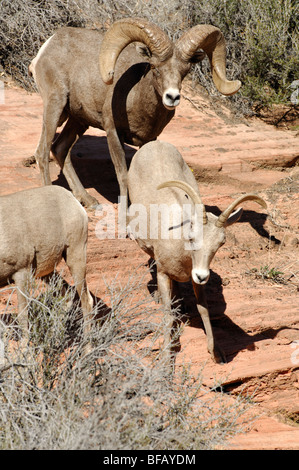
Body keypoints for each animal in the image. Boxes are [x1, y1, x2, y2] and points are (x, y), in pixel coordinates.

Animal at [0, 185, 94, 346]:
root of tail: (72, 199)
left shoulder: (21, 273)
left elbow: (23, 315)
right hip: (46, 273)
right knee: (66, 295)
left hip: (75, 258)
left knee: (86, 301)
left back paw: (86, 348)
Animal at [29, 17, 243, 207]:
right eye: (155, 67)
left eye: (186, 70)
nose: (172, 97)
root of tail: (47, 46)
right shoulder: (113, 132)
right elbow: (123, 176)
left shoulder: (149, 139)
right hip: (55, 105)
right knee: (42, 152)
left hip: (78, 120)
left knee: (60, 149)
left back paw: (89, 202)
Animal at [127, 141, 268, 366]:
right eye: (191, 237)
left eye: (221, 243)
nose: (202, 275)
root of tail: (154, 144)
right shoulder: (164, 274)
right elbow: (168, 314)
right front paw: (166, 359)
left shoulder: (196, 280)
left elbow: (204, 310)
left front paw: (216, 353)